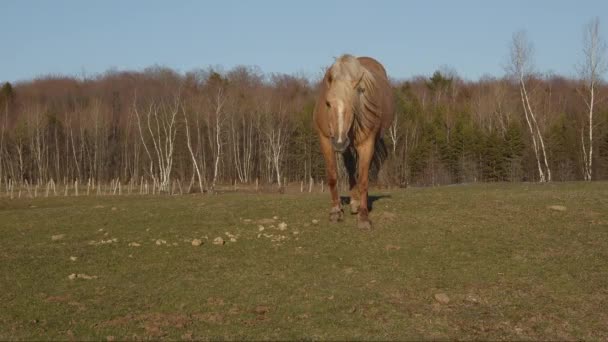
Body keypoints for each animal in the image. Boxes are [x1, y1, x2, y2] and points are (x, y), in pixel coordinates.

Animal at [314, 54, 394, 230]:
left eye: (353, 103)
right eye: (328, 103)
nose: (339, 142)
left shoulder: (366, 144)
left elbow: (363, 179)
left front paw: (364, 218)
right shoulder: (326, 140)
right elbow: (332, 176)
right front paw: (335, 212)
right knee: (350, 168)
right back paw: (354, 202)